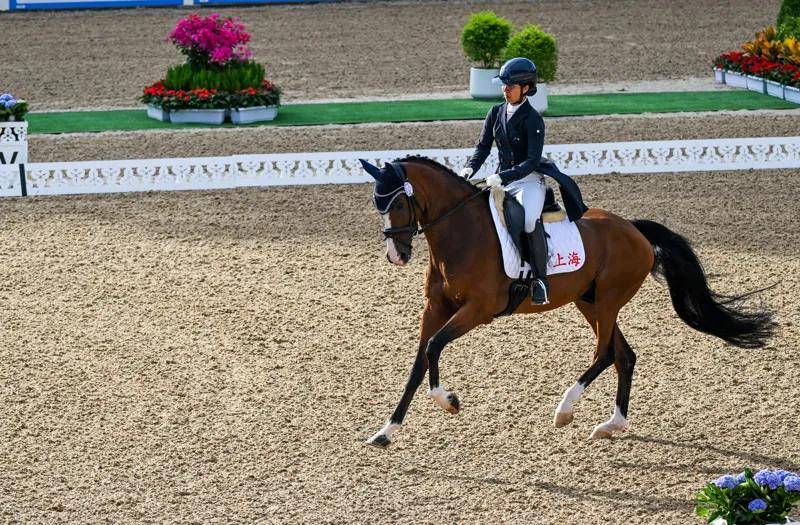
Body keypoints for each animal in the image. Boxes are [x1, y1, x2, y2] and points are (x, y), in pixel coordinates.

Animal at [359, 156, 775, 447]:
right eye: (378, 206)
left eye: (397, 204)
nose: (396, 255)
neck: (461, 234)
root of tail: (634, 229)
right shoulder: (436, 309)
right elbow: (419, 362)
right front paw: (386, 430)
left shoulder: (478, 310)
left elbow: (433, 347)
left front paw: (448, 401)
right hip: (588, 302)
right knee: (624, 356)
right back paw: (611, 424)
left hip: (607, 300)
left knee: (605, 354)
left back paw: (565, 410)